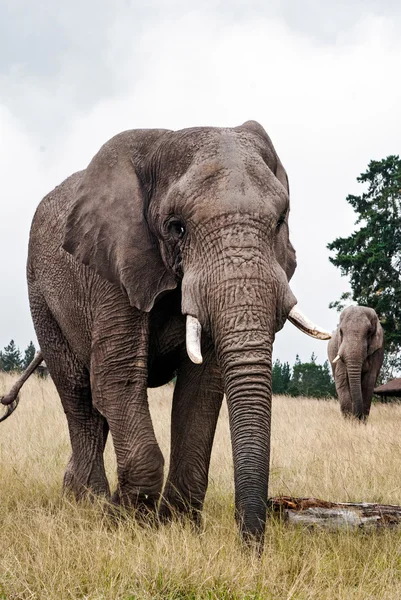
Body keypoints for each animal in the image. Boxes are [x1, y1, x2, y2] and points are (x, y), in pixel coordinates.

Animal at [0, 120, 328, 544]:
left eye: (280, 222)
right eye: (177, 227)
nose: (250, 546)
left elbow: (202, 389)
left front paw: (178, 526)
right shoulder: (114, 264)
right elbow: (118, 377)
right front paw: (124, 522)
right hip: (41, 294)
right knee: (79, 393)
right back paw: (87, 503)